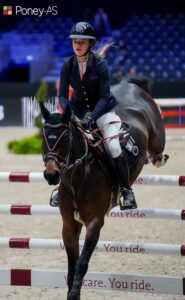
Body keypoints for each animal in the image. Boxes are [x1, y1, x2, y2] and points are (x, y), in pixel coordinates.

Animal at [40, 78, 169, 298]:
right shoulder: (69, 225)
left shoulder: (94, 222)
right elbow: (72, 267)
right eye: (44, 138)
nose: (51, 175)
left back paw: (155, 159)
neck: (77, 177)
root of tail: (131, 85)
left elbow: (81, 264)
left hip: (156, 136)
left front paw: (74, 294)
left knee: (157, 150)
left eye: (65, 138)